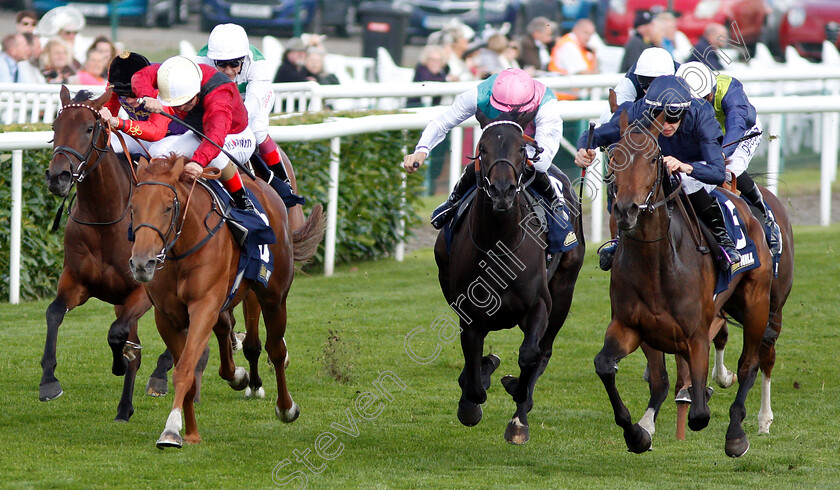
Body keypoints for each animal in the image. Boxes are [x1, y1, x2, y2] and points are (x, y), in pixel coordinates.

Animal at [43, 87, 175, 422]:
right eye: (54, 127)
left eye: (89, 128)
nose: (58, 177)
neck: (106, 218)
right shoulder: (76, 282)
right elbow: (53, 313)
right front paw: (48, 382)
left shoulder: (140, 292)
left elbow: (118, 336)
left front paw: (120, 363)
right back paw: (125, 406)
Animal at [130, 154, 324, 448]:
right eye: (133, 207)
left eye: (167, 207)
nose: (142, 263)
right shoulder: (166, 317)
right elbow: (187, 370)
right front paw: (190, 432)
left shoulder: (203, 306)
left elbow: (184, 369)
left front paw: (172, 429)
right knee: (226, 331)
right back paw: (239, 376)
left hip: (273, 295)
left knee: (275, 349)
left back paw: (285, 406)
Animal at [434, 117, 584, 444]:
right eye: (483, 149)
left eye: (520, 149)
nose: (502, 191)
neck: (500, 244)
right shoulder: (470, 315)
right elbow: (474, 374)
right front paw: (471, 401)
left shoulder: (539, 305)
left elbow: (530, 354)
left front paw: (518, 406)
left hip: (565, 289)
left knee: (544, 349)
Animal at [596, 109, 776, 458]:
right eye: (614, 156)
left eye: (654, 158)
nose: (625, 210)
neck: (656, 264)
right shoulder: (630, 326)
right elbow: (606, 366)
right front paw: (637, 434)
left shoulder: (696, 336)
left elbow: (699, 414)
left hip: (757, 302)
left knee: (750, 364)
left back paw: (737, 434)